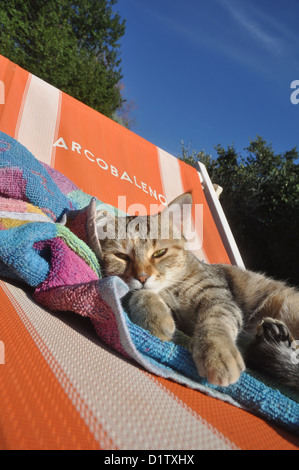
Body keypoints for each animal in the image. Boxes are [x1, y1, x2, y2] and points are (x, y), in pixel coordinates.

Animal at [94, 193, 299, 388]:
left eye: (160, 253)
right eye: (121, 256)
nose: (142, 277)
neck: (174, 287)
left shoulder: (218, 297)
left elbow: (215, 322)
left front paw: (217, 353)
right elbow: (140, 294)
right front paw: (155, 317)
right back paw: (277, 335)